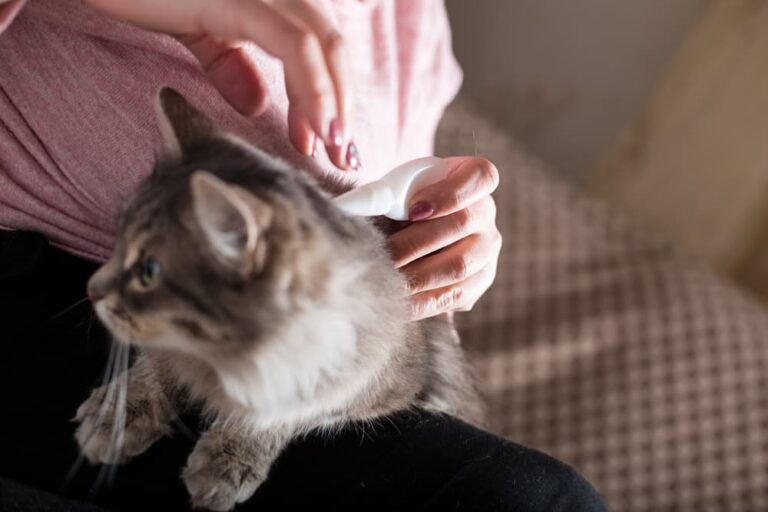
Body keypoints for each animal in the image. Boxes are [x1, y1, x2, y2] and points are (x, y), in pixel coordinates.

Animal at [75, 89, 484, 512]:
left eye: (150, 270)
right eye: (119, 240)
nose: (92, 288)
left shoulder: (368, 385)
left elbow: (280, 411)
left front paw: (229, 458)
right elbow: (154, 368)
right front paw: (118, 414)